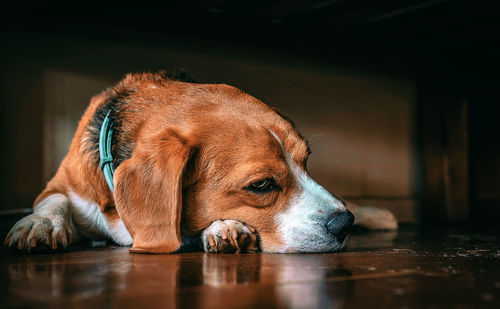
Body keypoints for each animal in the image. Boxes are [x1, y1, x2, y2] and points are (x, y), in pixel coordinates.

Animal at [2, 72, 394, 253]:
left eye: (306, 161)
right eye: (261, 185)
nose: (344, 224)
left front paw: (223, 227)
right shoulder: (62, 184)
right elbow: (54, 200)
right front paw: (40, 225)